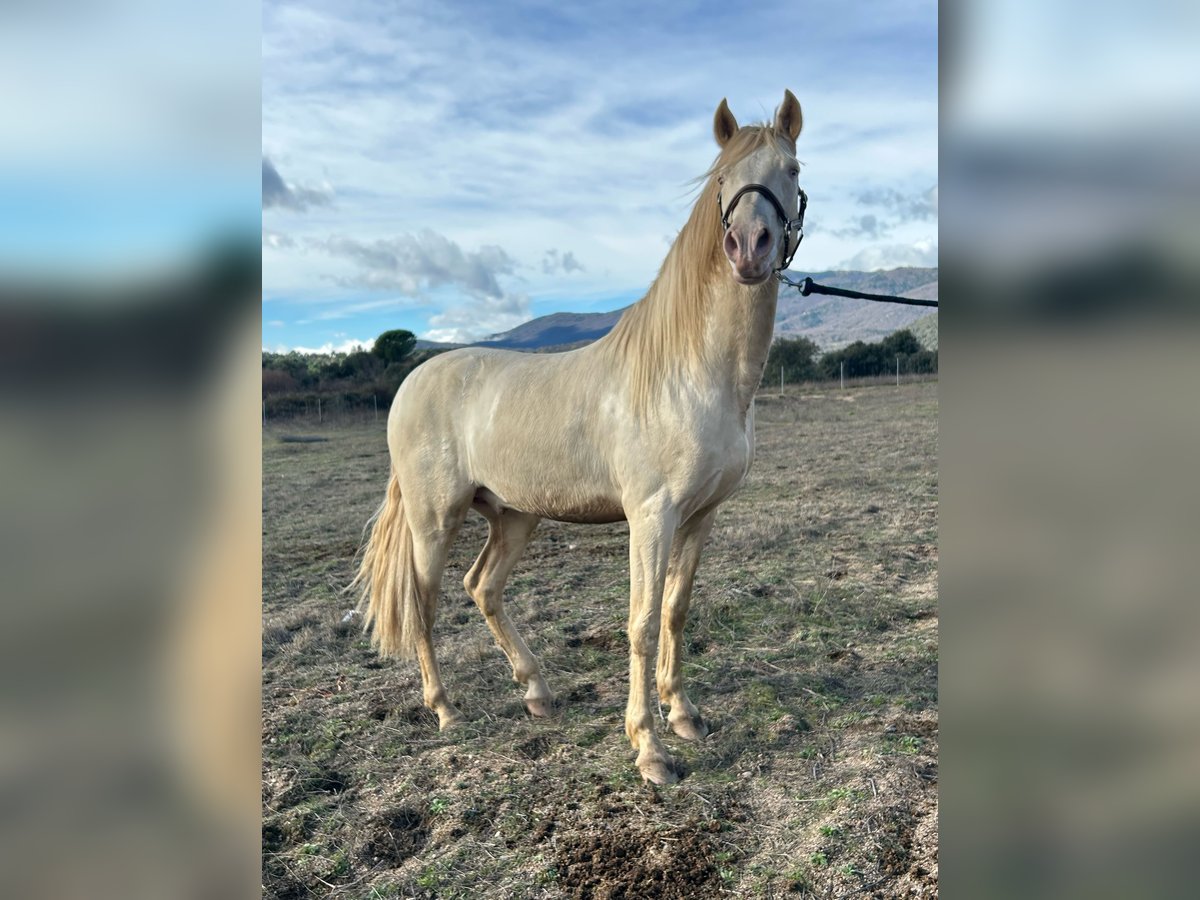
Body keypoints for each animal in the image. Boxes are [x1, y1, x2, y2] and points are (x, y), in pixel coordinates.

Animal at [352, 88, 806, 787]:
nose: (749, 247)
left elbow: (675, 610)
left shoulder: (701, 515)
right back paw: (446, 710)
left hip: (514, 516)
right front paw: (649, 748)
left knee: (482, 587)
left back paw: (537, 692)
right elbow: (641, 622)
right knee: (424, 604)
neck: (693, 371)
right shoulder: (652, 515)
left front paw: (684, 715)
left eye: (792, 169)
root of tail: (414, 380)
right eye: (722, 178)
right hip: (435, 521)